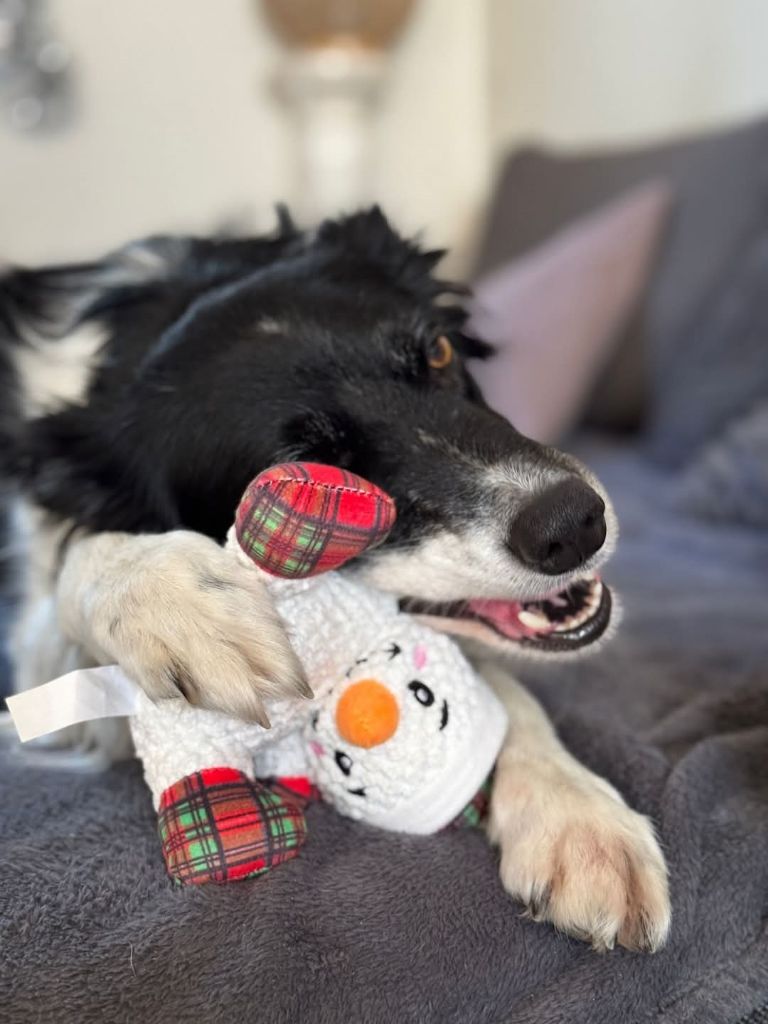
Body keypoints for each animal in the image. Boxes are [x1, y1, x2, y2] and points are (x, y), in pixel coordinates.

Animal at [0, 207, 670, 952]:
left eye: (440, 353)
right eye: (312, 471)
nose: (574, 524)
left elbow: (495, 680)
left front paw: (575, 809)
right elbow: (83, 563)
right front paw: (179, 602)